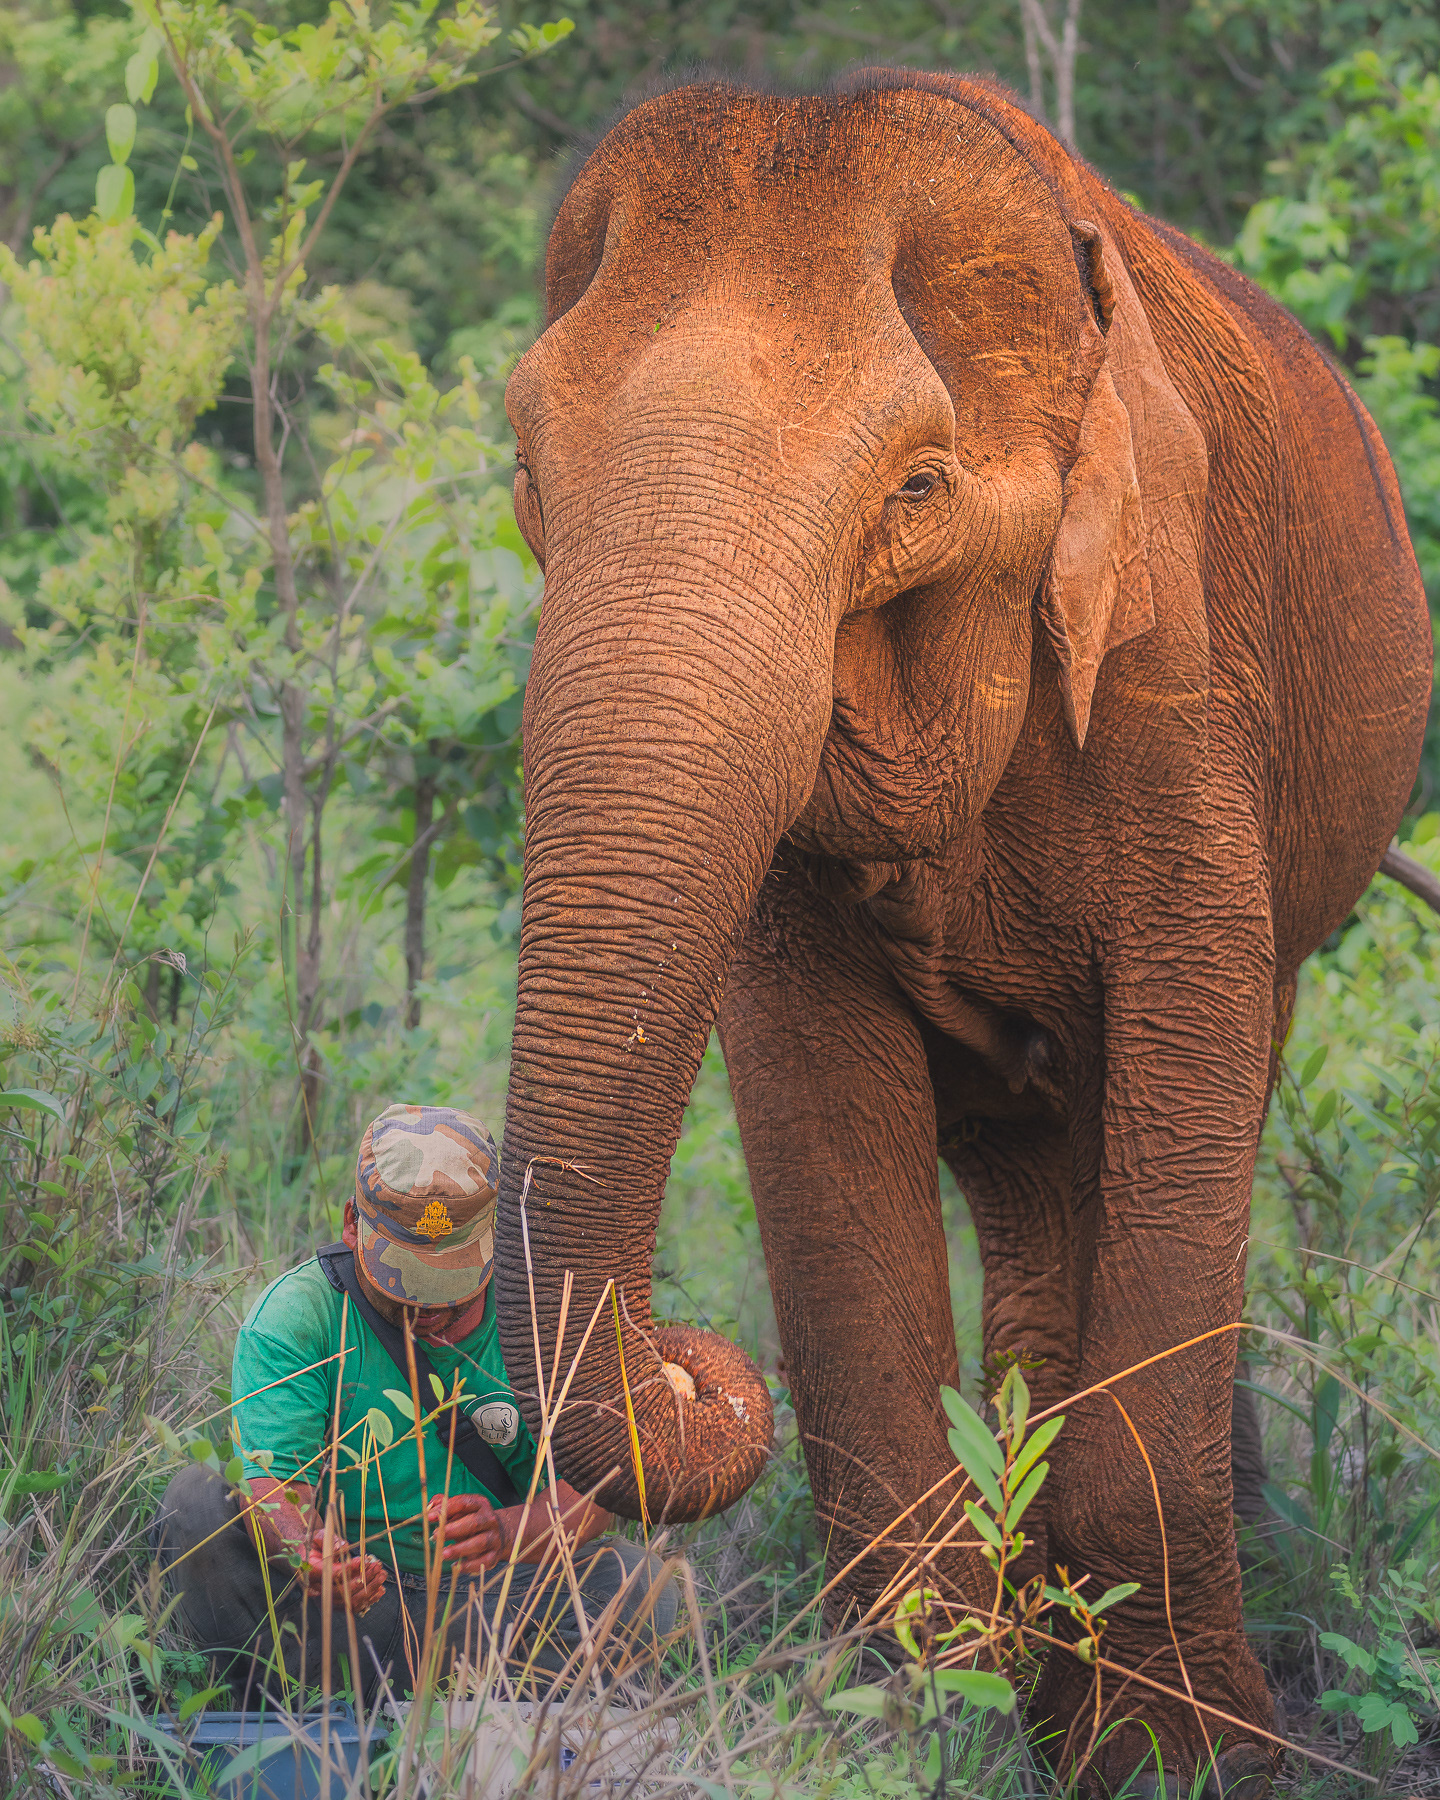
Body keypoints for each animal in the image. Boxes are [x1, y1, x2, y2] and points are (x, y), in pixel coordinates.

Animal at [493, 69, 1432, 1790]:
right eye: (528, 473)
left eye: (914, 490)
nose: (694, 1366)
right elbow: (814, 1097)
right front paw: (929, 1737)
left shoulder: (1180, 672)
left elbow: (1189, 1049)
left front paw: (1189, 1761)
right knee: (1033, 1160)